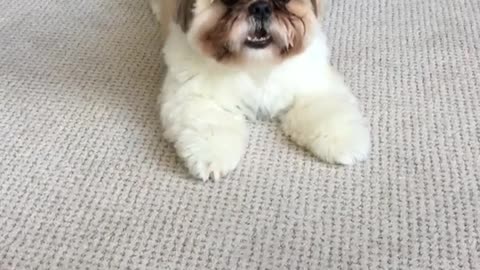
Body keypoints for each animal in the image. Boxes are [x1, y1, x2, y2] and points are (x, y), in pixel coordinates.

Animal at [150, 0, 372, 181]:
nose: (261, 7)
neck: (257, 66)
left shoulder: (312, 84)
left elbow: (323, 112)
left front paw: (342, 141)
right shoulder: (192, 96)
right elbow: (211, 123)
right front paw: (212, 156)